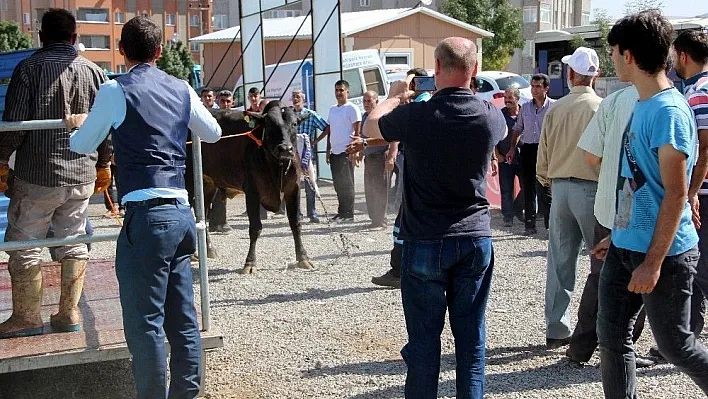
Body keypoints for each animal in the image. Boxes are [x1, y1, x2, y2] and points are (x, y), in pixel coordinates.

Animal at [185, 101, 312, 276]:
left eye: (294, 124)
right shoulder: (252, 191)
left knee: (202, 215)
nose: (286, 149)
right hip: (188, 182)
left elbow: (296, 224)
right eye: (269, 124)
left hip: (208, 185)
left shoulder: (294, 189)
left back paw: (209, 249)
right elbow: (255, 228)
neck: (276, 167)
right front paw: (250, 263)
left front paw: (303, 258)